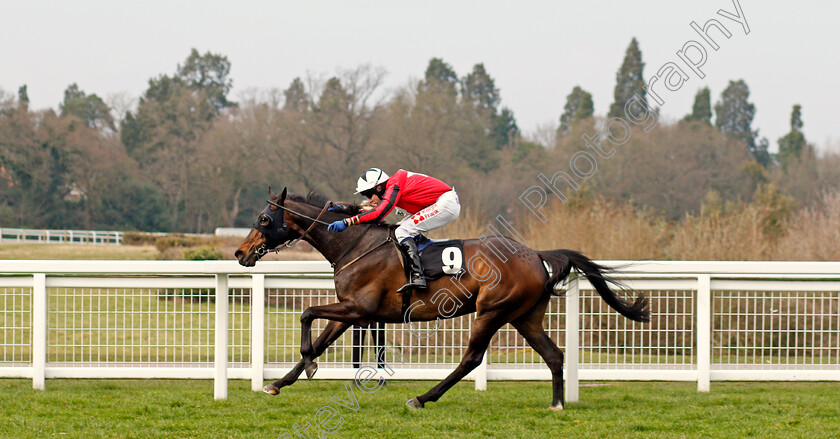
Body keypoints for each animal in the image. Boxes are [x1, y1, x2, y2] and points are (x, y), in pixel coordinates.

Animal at [236, 190, 648, 412]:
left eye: (264, 218)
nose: (241, 253)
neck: (353, 244)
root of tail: (535, 254)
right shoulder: (350, 311)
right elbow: (319, 339)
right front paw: (281, 381)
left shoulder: (360, 309)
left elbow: (306, 314)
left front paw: (306, 366)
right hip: (525, 316)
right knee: (554, 355)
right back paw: (557, 404)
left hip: (492, 310)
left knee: (471, 359)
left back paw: (422, 397)